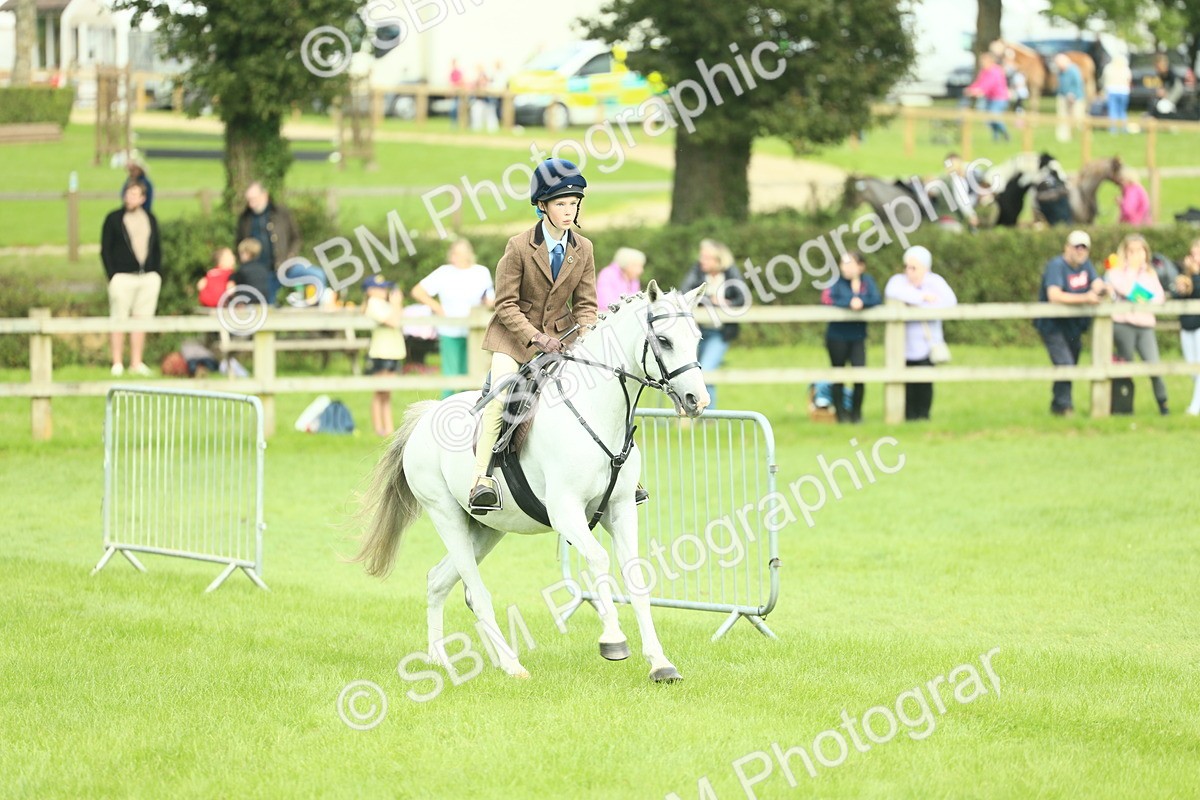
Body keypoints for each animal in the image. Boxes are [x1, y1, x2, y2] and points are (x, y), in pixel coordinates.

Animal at [354, 281, 710, 683]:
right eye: (663, 340)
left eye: (696, 337)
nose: (697, 400)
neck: (598, 413)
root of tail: (428, 413)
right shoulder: (566, 512)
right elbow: (599, 560)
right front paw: (613, 641)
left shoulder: (620, 511)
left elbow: (635, 576)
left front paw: (660, 663)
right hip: (446, 516)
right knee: (476, 592)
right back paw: (510, 664)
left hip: (486, 529)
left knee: (438, 580)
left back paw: (444, 660)